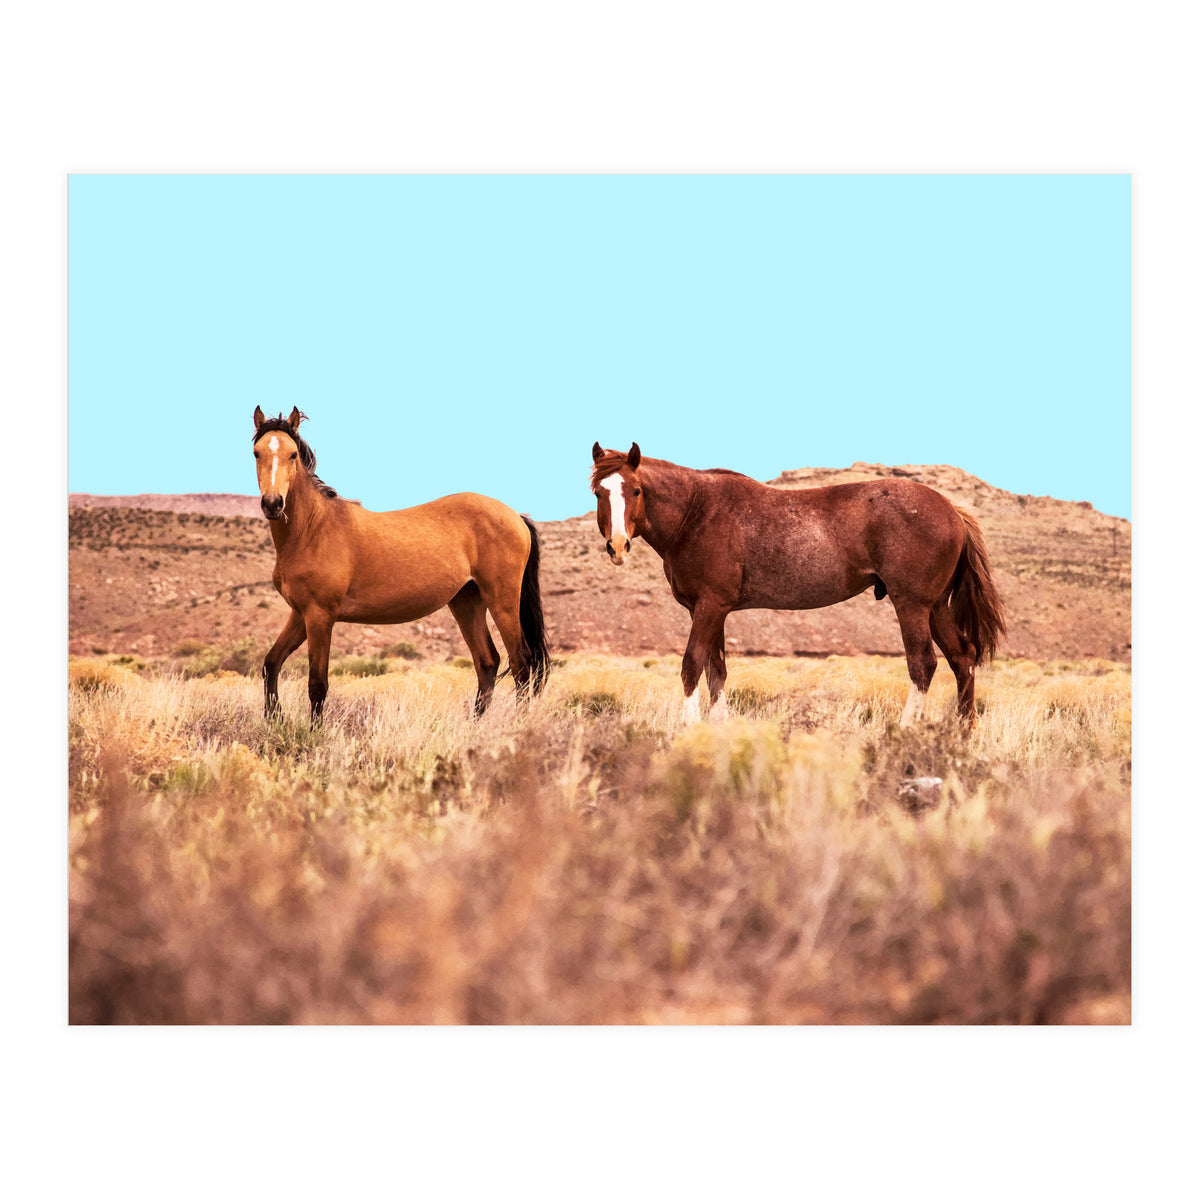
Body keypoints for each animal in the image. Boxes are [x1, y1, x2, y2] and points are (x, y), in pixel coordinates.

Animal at [251, 407, 549, 723]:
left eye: (293, 454)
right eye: (257, 453)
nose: (273, 504)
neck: (313, 529)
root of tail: (516, 516)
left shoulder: (320, 616)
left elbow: (317, 684)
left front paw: (312, 732)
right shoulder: (300, 614)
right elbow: (271, 663)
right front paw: (274, 718)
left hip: (502, 601)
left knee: (521, 664)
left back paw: (518, 723)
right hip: (466, 602)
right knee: (487, 662)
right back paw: (475, 725)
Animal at [590, 442, 1006, 726]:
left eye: (636, 490)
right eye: (598, 492)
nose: (617, 546)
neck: (697, 512)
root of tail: (952, 510)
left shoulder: (710, 607)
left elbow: (692, 665)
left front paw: (689, 727)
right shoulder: (712, 611)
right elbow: (716, 671)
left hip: (912, 606)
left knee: (923, 665)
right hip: (935, 607)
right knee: (963, 657)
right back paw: (963, 732)